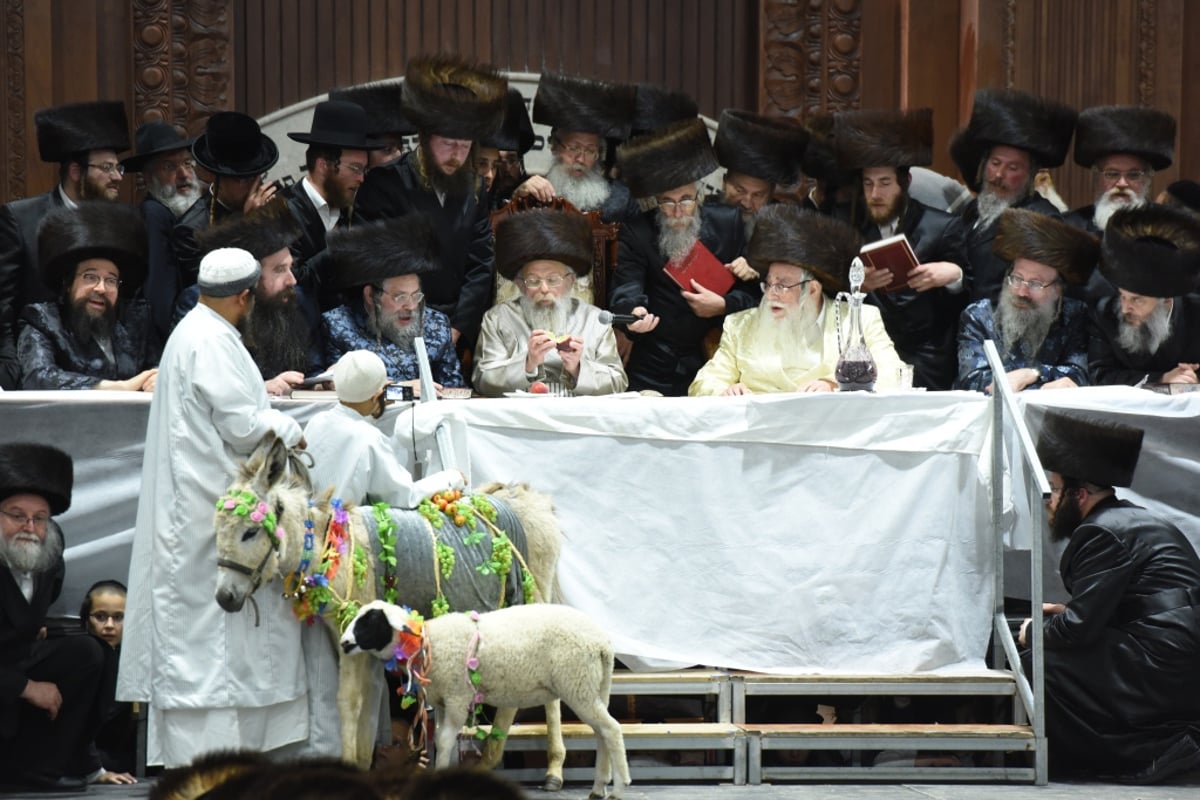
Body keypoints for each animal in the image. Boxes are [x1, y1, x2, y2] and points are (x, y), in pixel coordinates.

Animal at [343, 599, 633, 800]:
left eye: (370, 620)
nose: (345, 643)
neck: (427, 644)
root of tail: (603, 644)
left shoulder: (458, 696)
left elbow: (445, 741)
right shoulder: (443, 701)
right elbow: (439, 741)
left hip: (578, 683)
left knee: (612, 730)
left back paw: (619, 788)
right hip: (592, 687)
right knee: (602, 733)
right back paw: (598, 788)